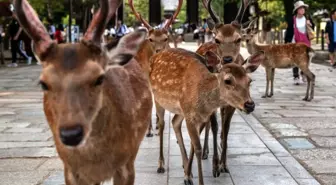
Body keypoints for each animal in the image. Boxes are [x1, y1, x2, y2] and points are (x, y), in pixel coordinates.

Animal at [13, 0, 153, 185]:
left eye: (99, 78)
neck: (95, 163)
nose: (71, 134)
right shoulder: (70, 170)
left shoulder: (127, 163)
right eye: (43, 83)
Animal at [151, 46, 264, 185]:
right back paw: (161, 165)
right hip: (158, 98)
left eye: (250, 81)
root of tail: (156, 54)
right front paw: (194, 178)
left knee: (175, 122)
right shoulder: (190, 116)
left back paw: (186, 168)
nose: (250, 105)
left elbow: (203, 137)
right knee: (162, 125)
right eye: (228, 80)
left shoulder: (202, 114)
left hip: (180, 110)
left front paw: (189, 174)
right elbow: (198, 148)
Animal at [196, 0, 258, 173]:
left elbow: (226, 129)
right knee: (209, 124)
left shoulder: (233, 104)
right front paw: (215, 165)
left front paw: (224, 164)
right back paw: (205, 152)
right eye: (218, 39)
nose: (227, 59)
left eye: (238, 39)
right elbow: (215, 126)